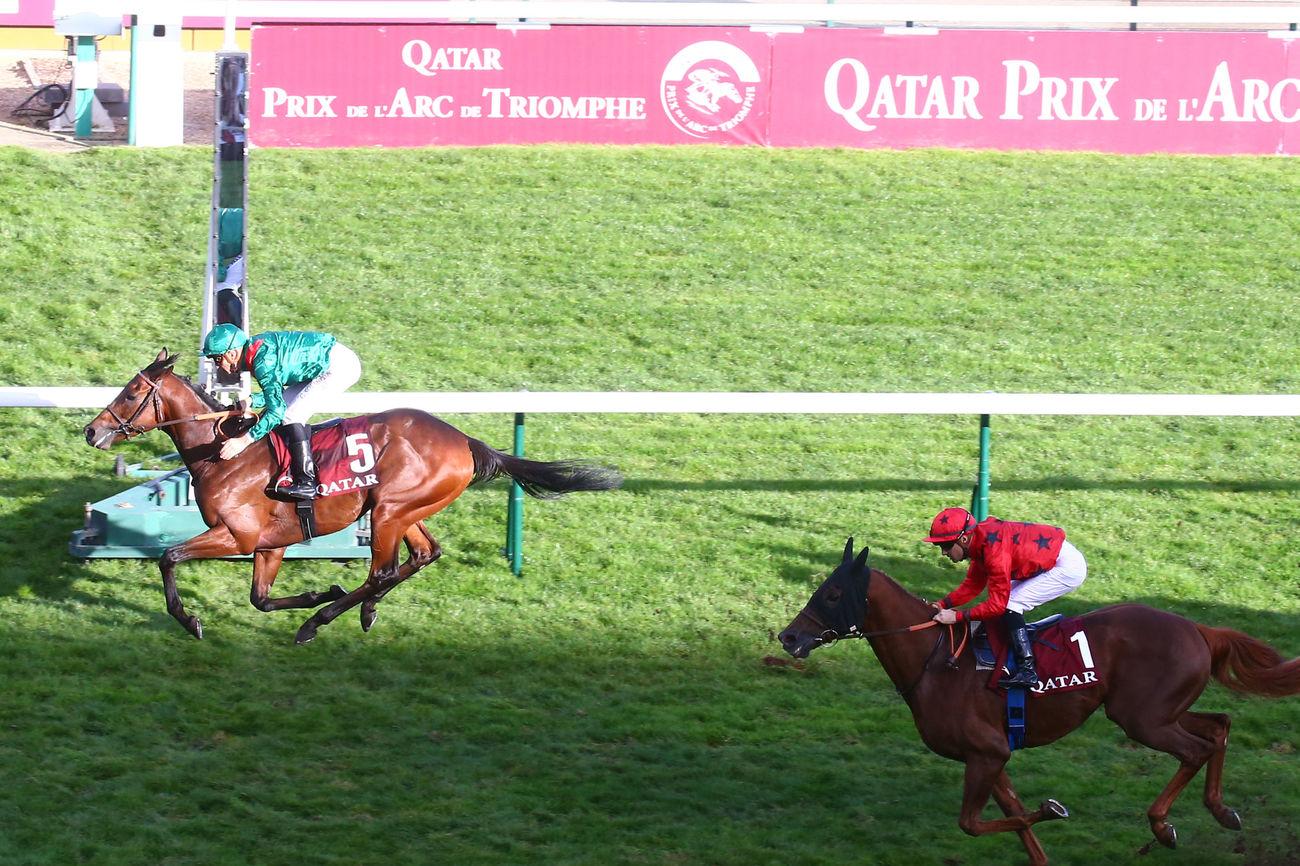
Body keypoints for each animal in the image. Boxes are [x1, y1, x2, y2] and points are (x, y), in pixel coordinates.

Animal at [83, 348, 621, 639]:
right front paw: (319, 590)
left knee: (382, 570)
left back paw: (321, 621)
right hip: (405, 510)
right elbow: (260, 599)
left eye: (131, 393)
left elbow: (169, 557)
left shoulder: (237, 536)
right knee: (424, 554)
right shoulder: (269, 544)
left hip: (389, 512)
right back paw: (361, 609)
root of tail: (464, 440)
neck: (222, 455)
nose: (92, 431)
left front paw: (189, 620)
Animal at [780, 535, 1300, 858]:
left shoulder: (986, 753)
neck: (936, 661)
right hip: (1159, 711)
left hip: (1142, 719)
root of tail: (1198, 629)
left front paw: (1053, 808)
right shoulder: (988, 756)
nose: (789, 638)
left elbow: (973, 823)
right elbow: (1016, 820)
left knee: (1195, 749)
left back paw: (1162, 826)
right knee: (1219, 726)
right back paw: (1223, 811)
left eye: (832, 594)